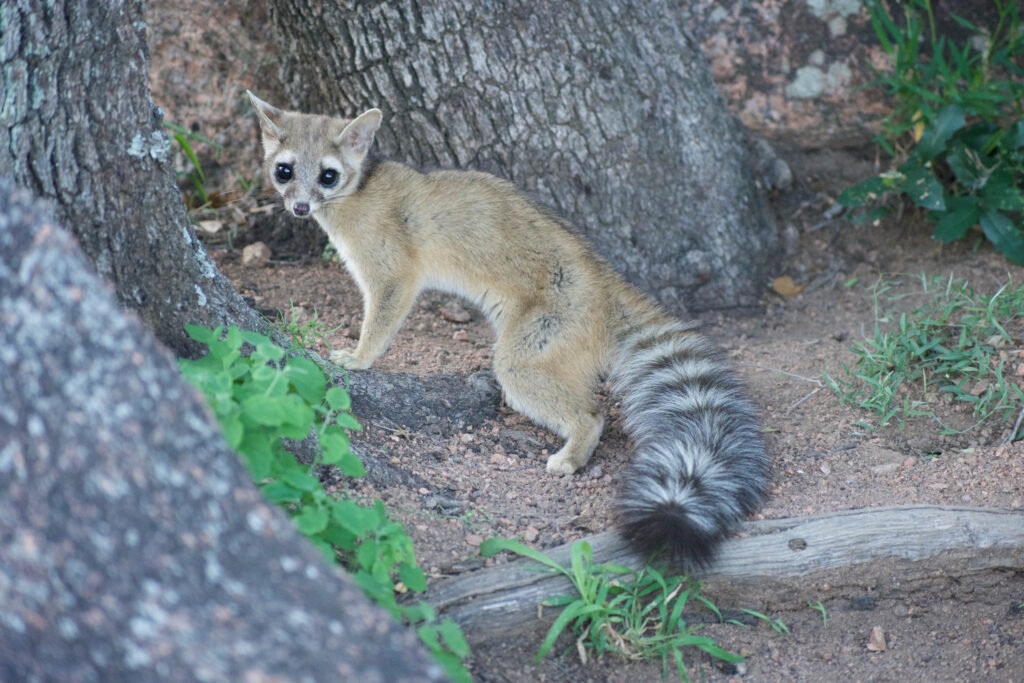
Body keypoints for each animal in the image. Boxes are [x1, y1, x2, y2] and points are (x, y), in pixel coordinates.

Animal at [249, 92, 770, 573]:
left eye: (328, 176)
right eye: (284, 171)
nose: (299, 207)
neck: (361, 189)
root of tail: (605, 280)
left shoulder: (392, 271)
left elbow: (381, 318)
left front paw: (360, 357)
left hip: (533, 346)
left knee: (584, 409)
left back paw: (575, 448)